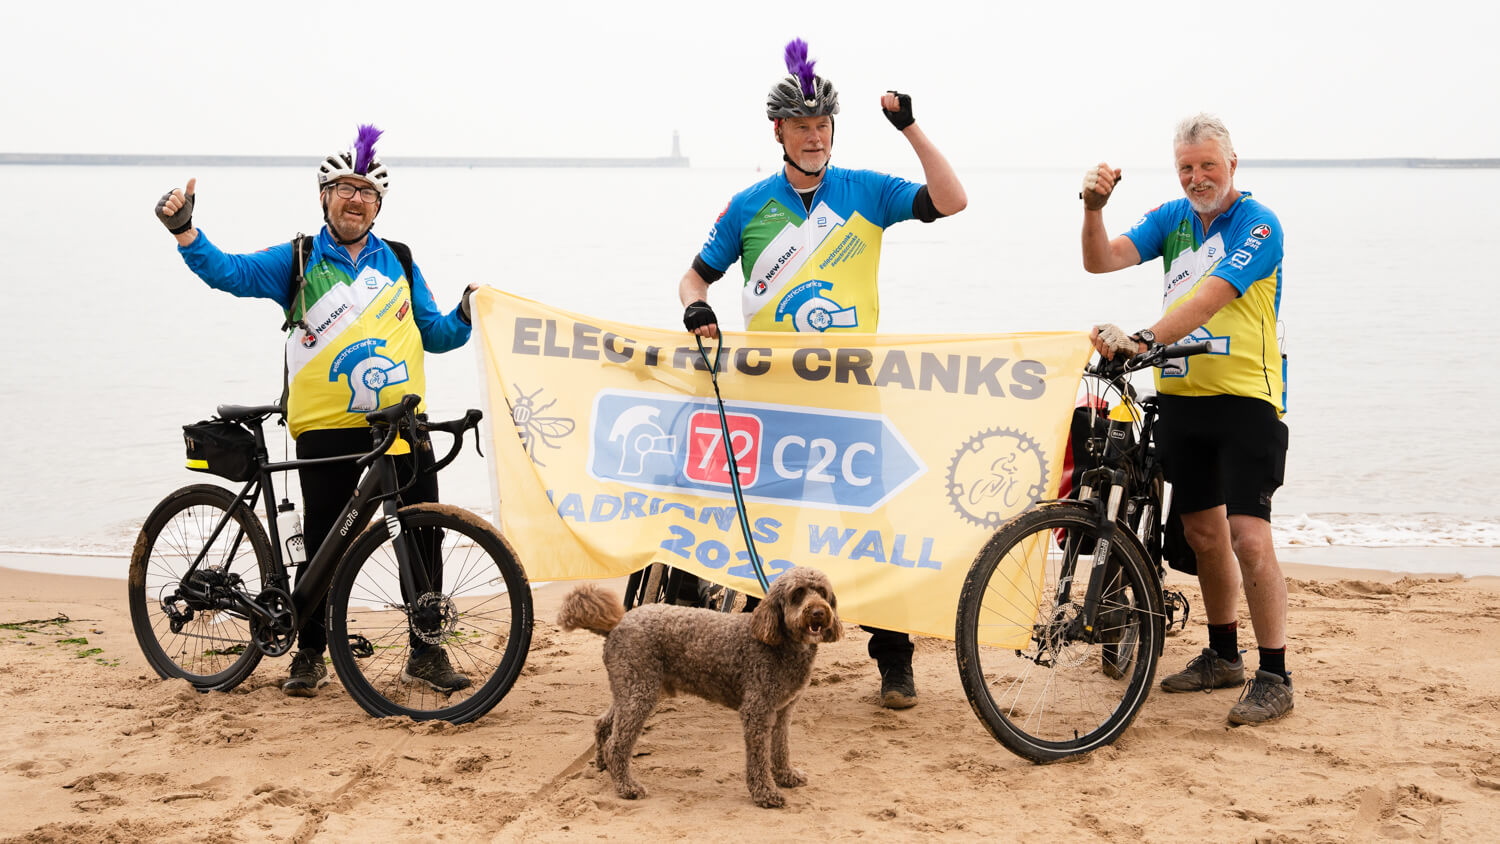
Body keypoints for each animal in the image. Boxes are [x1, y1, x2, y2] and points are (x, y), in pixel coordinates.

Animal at [561, 566, 846, 809]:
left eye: (822, 592)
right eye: (797, 594)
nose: (818, 612)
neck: (780, 642)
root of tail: (616, 625)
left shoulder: (783, 710)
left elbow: (781, 747)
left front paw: (786, 776)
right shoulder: (757, 711)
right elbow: (759, 758)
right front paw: (765, 793)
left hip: (629, 688)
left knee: (603, 724)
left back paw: (602, 764)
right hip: (640, 692)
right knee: (617, 743)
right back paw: (626, 787)